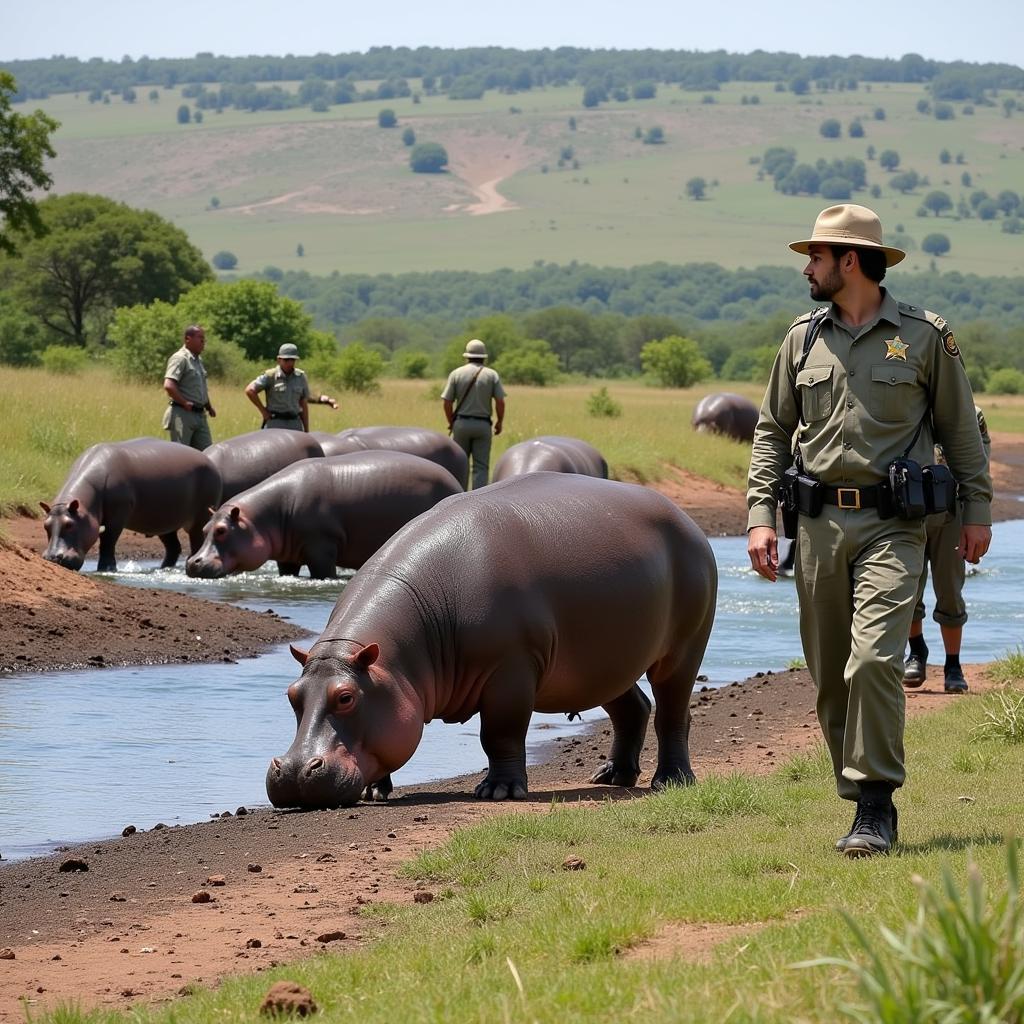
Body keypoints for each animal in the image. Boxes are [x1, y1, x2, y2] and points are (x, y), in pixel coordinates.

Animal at [43, 436, 223, 573]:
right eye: (45, 525)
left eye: (69, 524)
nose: (51, 557)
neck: (86, 506)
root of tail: (209, 461)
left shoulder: (118, 515)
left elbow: (108, 539)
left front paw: (106, 569)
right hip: (164, 522)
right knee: (174, 547)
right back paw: (162, 569)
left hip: (200, 517)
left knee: (196, 543)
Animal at [188, 452, 464, 581]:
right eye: (204, 529)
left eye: (222, 530)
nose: (192, 563)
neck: (263, 518)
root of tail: (457, 484)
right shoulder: (288, 555)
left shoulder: (321, 547)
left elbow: (324, 572)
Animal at [268, 468, 716, 806]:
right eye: (291, 695)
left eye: (345, 697)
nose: (292, 773)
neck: (397, 660)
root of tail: (687, 520)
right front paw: (376, 790)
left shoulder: (511, 669)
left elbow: (499, 731)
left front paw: (499, 790)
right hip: (603, 665)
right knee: (633, 707)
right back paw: (611, 776)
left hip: (683, 649)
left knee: (674, 712)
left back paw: (671, 781)